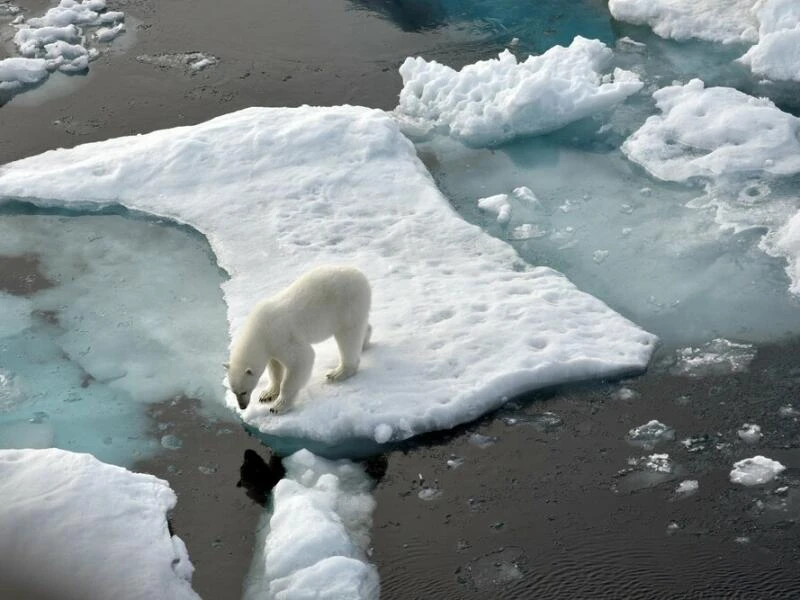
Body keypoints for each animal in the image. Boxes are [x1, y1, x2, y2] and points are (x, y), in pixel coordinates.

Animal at [225, 266, 372, 412]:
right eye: (234, 392)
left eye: (243, 391)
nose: (242, 406)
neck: (259, 330)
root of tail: (361, 276)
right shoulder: (271, 346)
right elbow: (275, 367)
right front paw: (267, 394)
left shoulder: (281, 336)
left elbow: (301, 359)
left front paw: (279, 405)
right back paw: (364, 342)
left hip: (347, 305)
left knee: (348, 336)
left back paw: (338, 372)